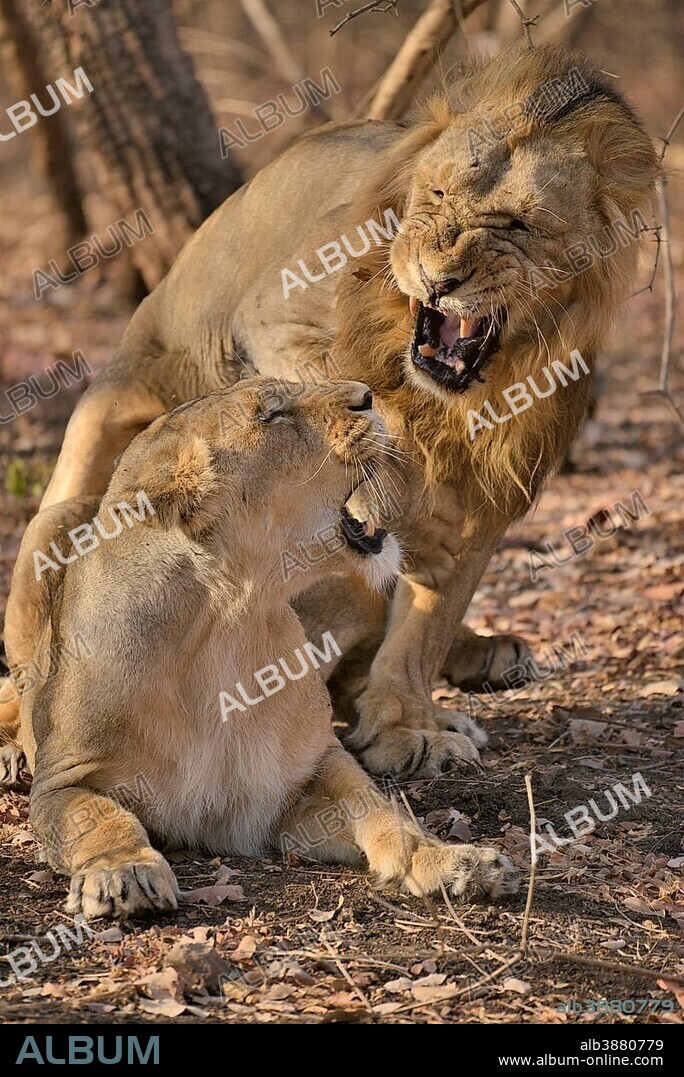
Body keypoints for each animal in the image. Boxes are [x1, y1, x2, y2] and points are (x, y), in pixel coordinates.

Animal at [3, 44, 657, 781]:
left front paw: (408, 722)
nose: (441, 279)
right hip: (76, 480)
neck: (457, 397)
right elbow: (348, 406)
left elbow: (426, 623)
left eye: (518, 224)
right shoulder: (273, 315)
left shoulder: (490, 493)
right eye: (436, 197)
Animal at [5, 377, 517, 918]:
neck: (229, 625)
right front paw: (124, 871)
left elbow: (381, 810)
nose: (367, 396)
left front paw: (453, 862)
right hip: (44, 527)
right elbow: (100, 816)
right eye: (273, 414)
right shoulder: (64, 780)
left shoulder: (307, 771)